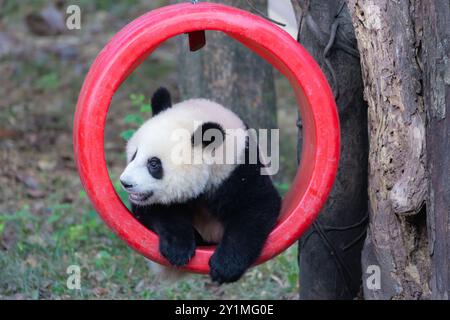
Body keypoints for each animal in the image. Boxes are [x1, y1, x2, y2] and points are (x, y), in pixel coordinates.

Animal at [119, 87, 282, 282]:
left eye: (154, 164)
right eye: (134, 155)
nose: (125, 183)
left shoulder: (239, 168)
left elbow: (257, 207)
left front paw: (225, 266)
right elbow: (157, 211)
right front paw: (178, 249)